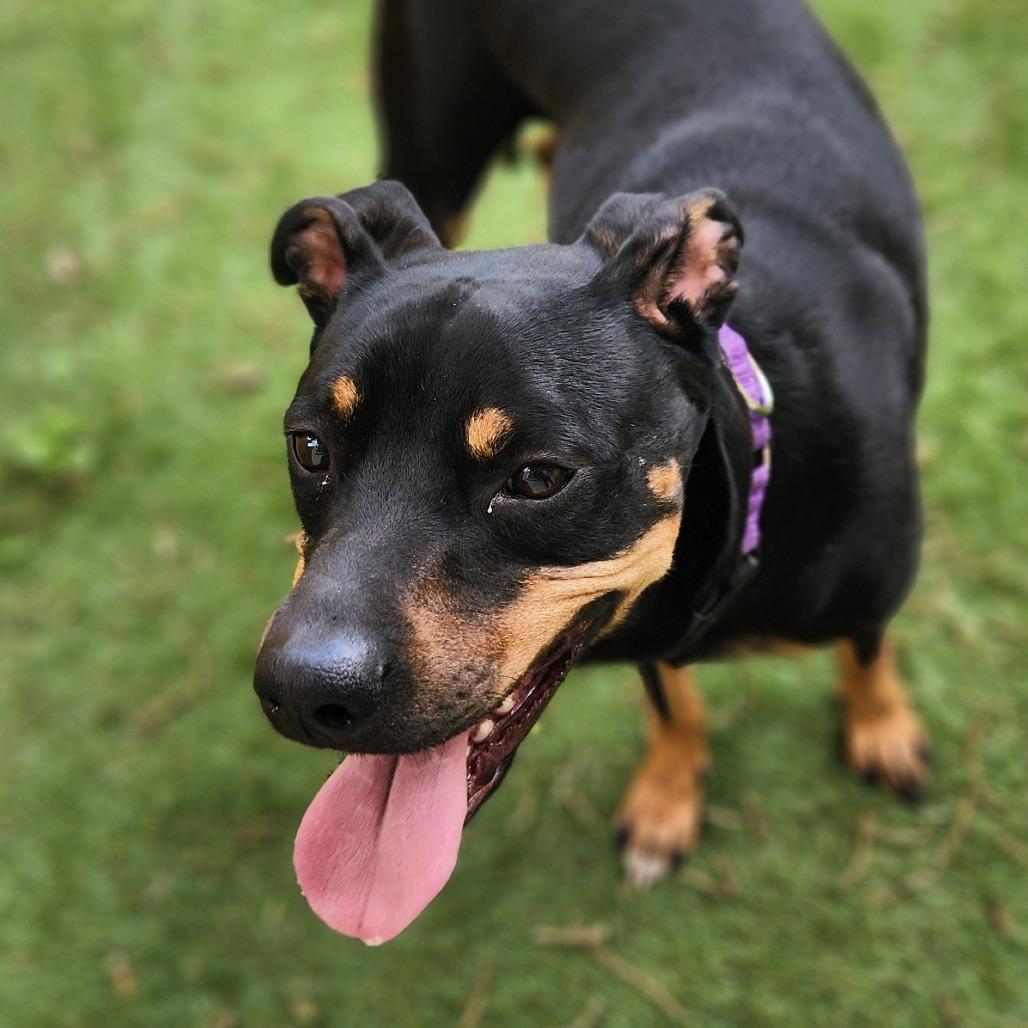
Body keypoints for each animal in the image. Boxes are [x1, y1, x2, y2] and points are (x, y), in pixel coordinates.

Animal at [254, 0, 928, 942]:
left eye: (538, 479)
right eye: (310, 448)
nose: (302, 692)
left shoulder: (867, 589)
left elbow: (865, 650)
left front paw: (880, 726)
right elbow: (671, 698)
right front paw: (668, 796)